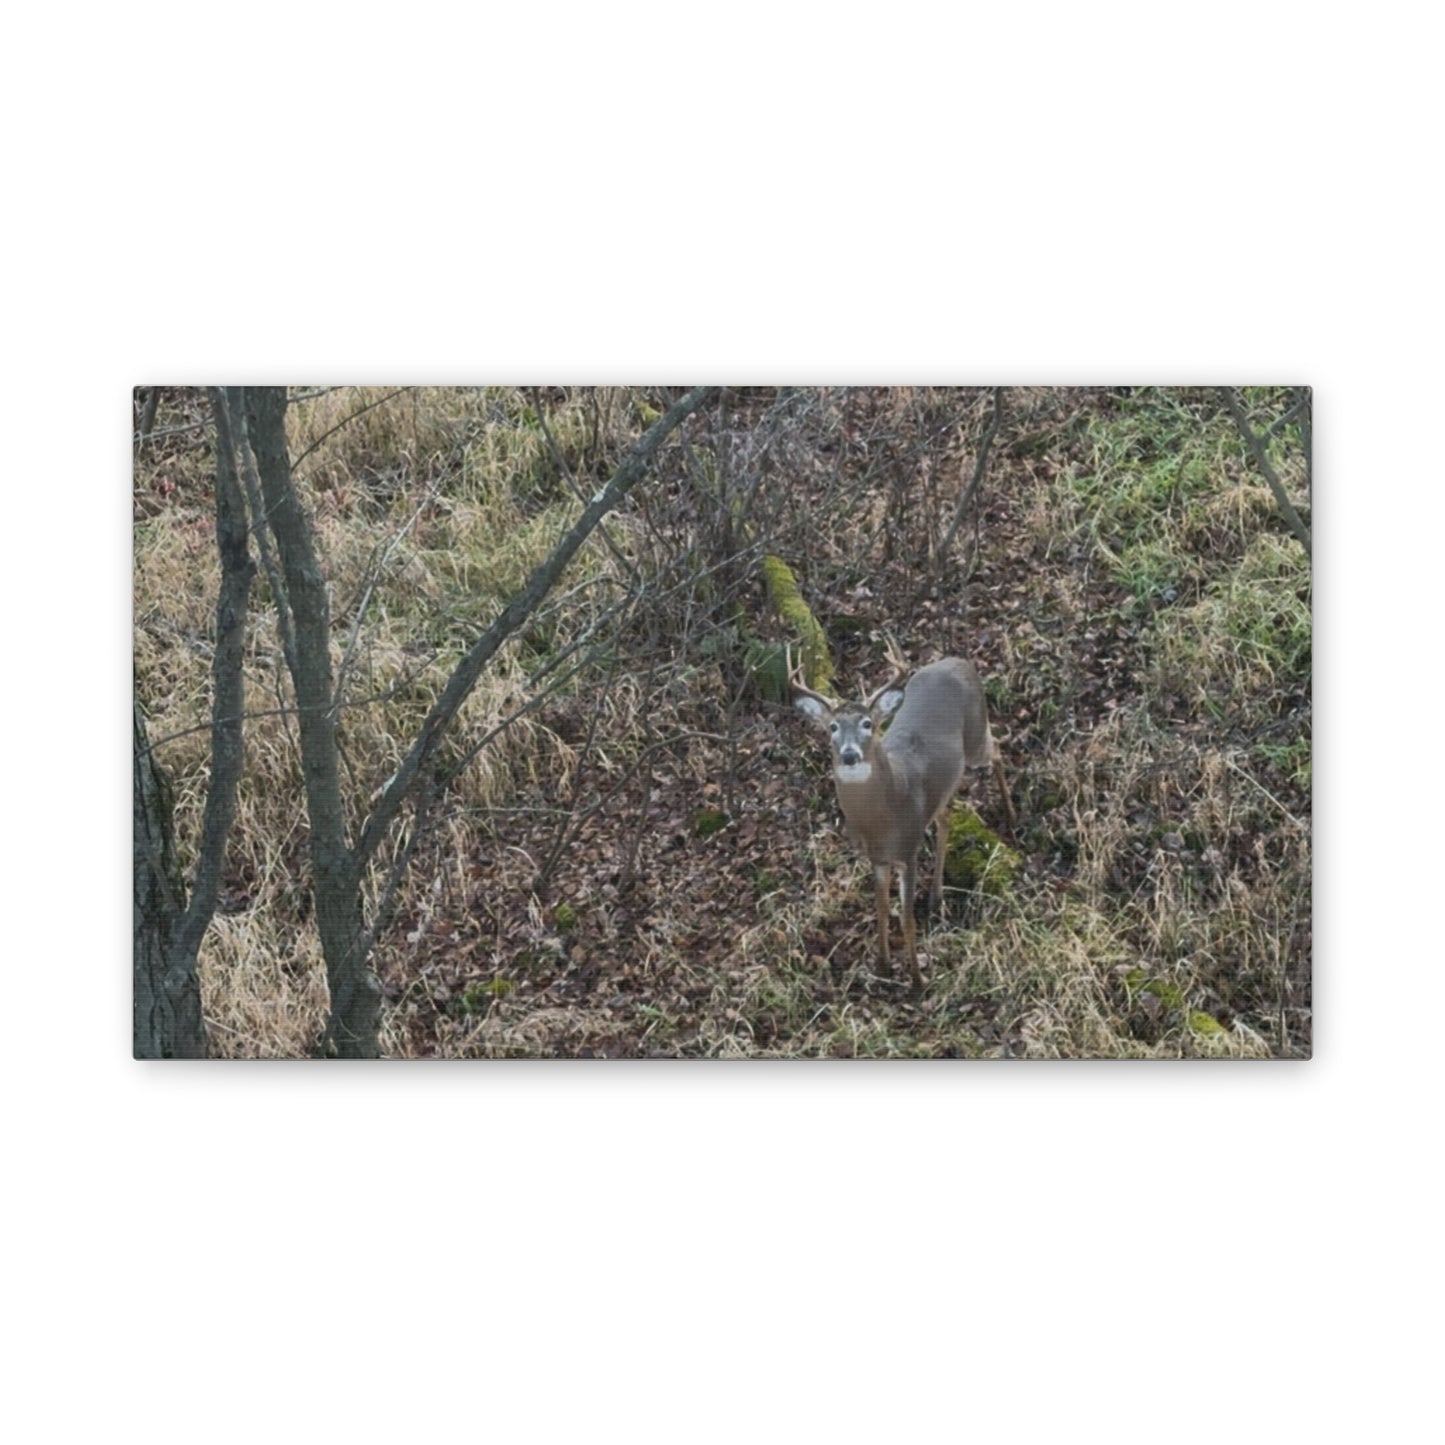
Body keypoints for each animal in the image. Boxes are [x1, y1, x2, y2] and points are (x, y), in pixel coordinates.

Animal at [792, 641, 1014, 991]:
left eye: (867, 724)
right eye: (832, 727)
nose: (850, 755)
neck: (885, 817)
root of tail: (959, 661)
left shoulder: (908, 851)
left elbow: (906, 917)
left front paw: (918, 980)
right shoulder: (878, 858)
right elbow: (882, 910)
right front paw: (883, 967)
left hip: (977, 734)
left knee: (998, 751)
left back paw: (1011, 814)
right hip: (945, 786)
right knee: (946, 817)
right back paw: (936, 897)